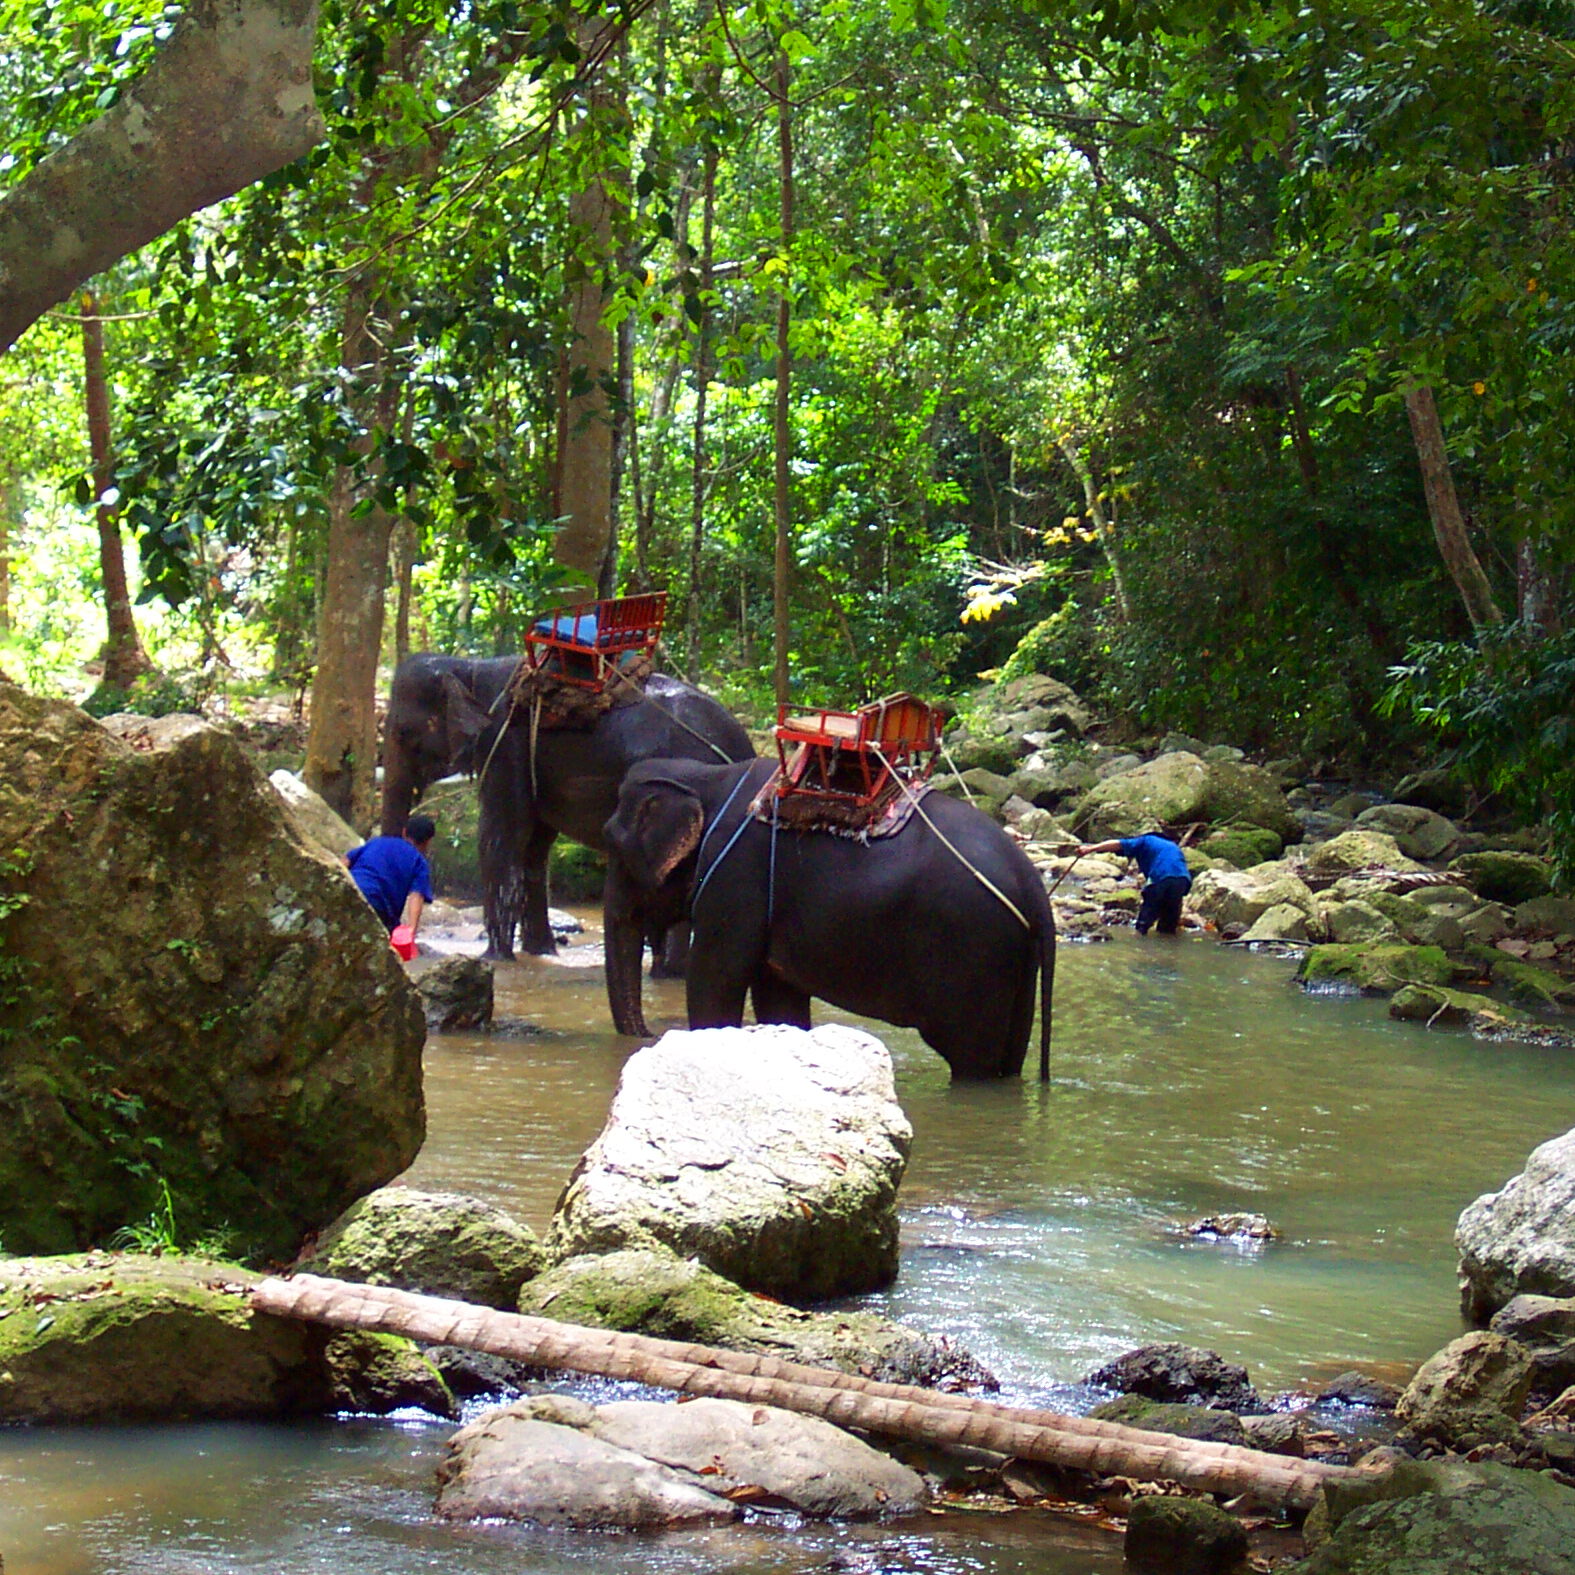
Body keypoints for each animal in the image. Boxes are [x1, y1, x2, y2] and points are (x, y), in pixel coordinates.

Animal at [378, 652, 752, 957]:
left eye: (402, 732)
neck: (468, 668)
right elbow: (534, 847)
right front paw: (541, 953)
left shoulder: (504, 745)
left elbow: (501, 839)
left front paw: (495, 960)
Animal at [601, 756, 1058, 1077]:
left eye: (612, 846)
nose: (647, 1034)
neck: (707, 777)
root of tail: (1035, 887)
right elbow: (778, 997)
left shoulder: (735, 879)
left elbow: (716, 979)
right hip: (1015, 960)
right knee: (1007, 1059)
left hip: (974, 954)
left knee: (972, 1057)